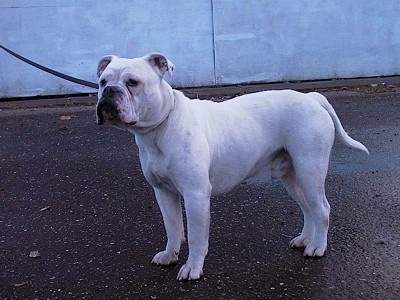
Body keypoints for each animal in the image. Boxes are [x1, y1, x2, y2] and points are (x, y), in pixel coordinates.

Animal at [95, 52, 370, 280]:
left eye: (133, 82)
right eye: (102, 81)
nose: (109, 91)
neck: (158, 129)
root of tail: (312, 98)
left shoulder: (195, 195)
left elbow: (195, 236)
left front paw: (192, 268)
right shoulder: (164, 193)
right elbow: (172, 228)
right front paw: (170, 255)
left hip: (309, 169)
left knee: (321, 209)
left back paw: (317, 247)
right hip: (293, 176)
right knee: (308, 208)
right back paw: (305, 240)